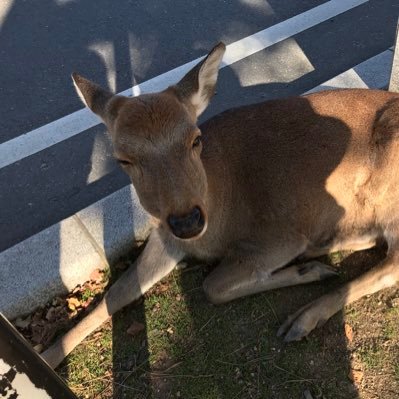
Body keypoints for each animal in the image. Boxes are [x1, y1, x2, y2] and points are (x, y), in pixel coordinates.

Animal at [42, 42, 399, 370]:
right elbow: (116, 293)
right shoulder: (165, 236)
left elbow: (212, 285)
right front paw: (44, 358)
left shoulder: (281, 235)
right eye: (123, 159)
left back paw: (303, 314)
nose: (187, 220)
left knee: (390, 264)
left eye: (195, 139)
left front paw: (307, 272)